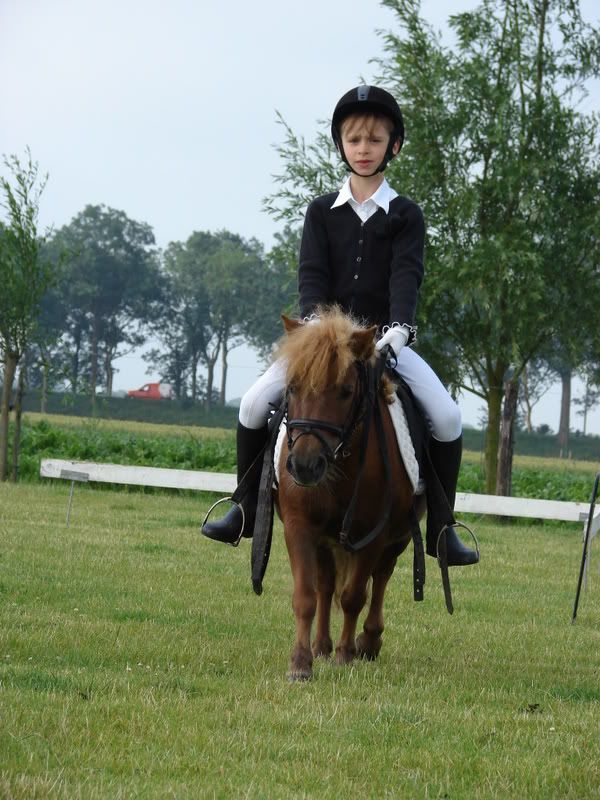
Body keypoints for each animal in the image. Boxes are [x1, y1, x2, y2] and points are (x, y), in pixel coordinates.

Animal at [274, 308, 420, 680]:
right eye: (292, 387)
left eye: (346, 391)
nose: (305, 466)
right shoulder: (299, 527)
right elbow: (305, 595)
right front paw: (300, 663)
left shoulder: (372, 534)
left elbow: (355, 595)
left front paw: (345, 654)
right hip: (327, 540)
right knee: (326, 586)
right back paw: (321, 646)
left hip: (397, 538)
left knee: (381, 577)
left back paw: (367, 642)